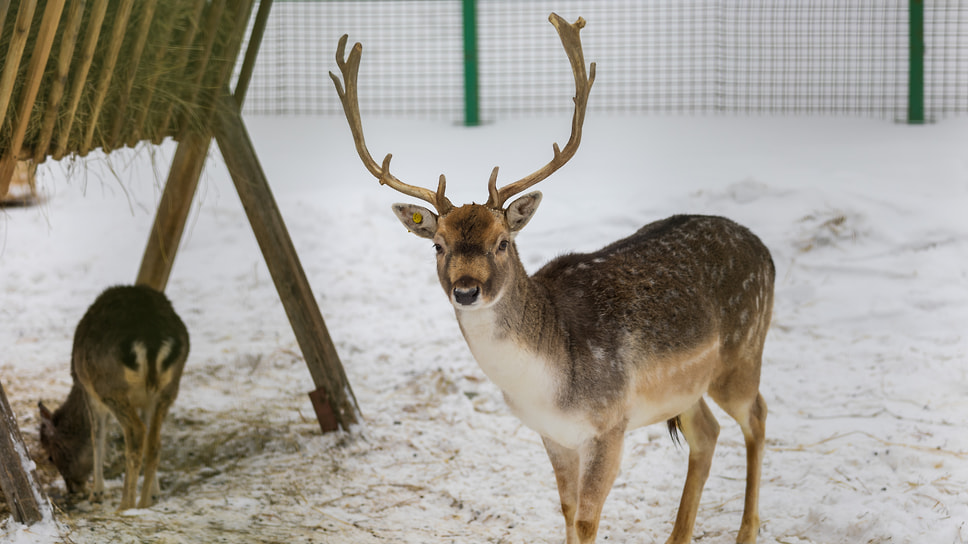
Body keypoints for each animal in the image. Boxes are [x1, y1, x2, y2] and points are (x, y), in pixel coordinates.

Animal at [39, 284, 189, 510]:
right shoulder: (148, 402)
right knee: (154, 440)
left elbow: (97, 436)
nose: (73, 487)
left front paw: (97, 493)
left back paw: (126, 504)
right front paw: (155, 494)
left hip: (110, 387)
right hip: (169, 388)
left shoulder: (90, 393)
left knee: (136, 432)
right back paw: (143, 502)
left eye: (51, 456)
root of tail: (151, 338)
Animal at [328, 12, 776, 544]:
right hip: (690, 387)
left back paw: (747, 530)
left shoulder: (610, 423)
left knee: (757, 417)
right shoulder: (551, 433)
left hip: (742, 354)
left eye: (502, 242)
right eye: (438, 245)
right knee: (707, 433)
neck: (548, 383)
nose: (466, 289)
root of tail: (766, 251)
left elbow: (585, 519)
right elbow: (565, 509)